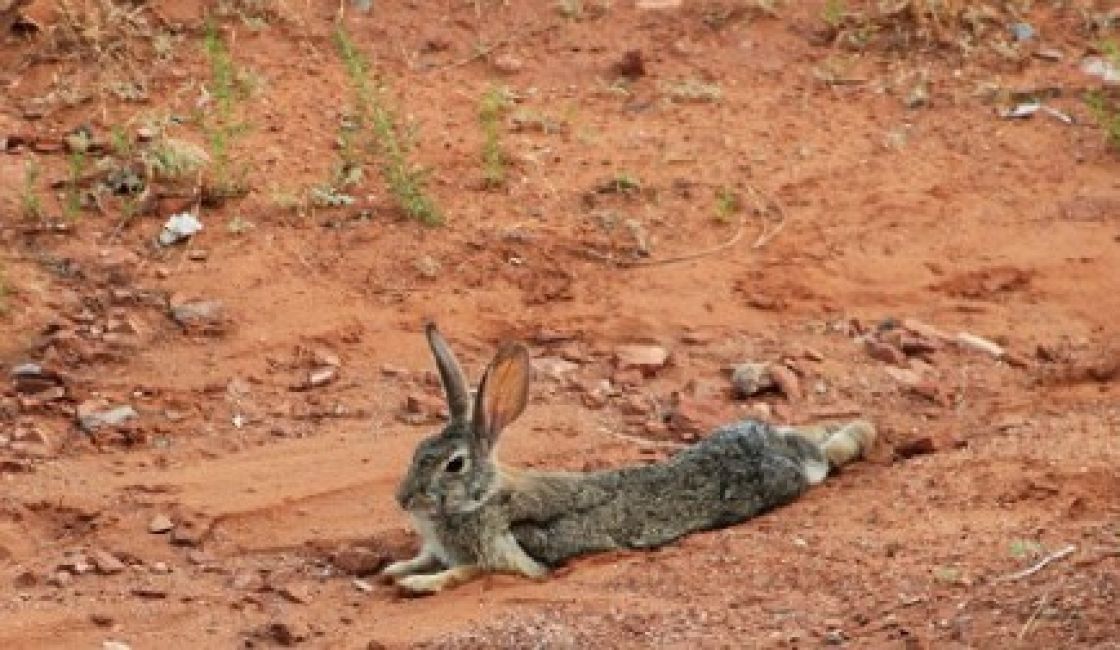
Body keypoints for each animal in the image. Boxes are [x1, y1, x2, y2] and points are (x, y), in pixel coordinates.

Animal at [382, 323, 876, 594]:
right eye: (417, 452)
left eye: (454, 465)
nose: (403, 499)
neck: (482, 498)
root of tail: (792, 454)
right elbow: (423, 559)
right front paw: (395, 569)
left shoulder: (509, 558)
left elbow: (466, 571)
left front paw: (417, 584)